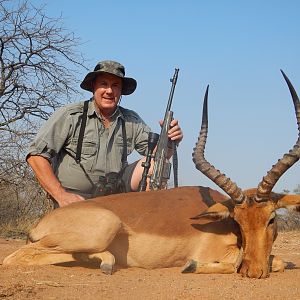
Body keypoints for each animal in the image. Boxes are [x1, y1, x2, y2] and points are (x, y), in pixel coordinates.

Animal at [2, 70, 300, 278]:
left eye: (271, 219)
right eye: (238, 221)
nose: (254, 271)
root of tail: (43, 221)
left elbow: (281, 261)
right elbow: (259, 262)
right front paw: (191, 266)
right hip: (102, 228)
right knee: (13, 258)